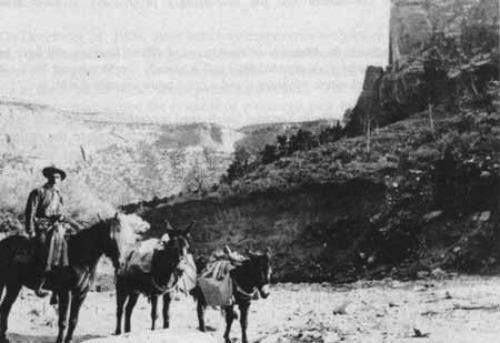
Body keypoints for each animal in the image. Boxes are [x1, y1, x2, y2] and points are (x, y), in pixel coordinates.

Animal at [0, 214, 135, 343]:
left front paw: (69, 339)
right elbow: (63, 320)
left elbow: (73, 320)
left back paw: (5, 337)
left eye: (124, 237)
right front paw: (60, 340)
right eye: (110, 237)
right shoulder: (65, 292)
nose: (121, 263)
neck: (78, 254)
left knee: (5, 308)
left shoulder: (81, 294)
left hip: (14, 286)